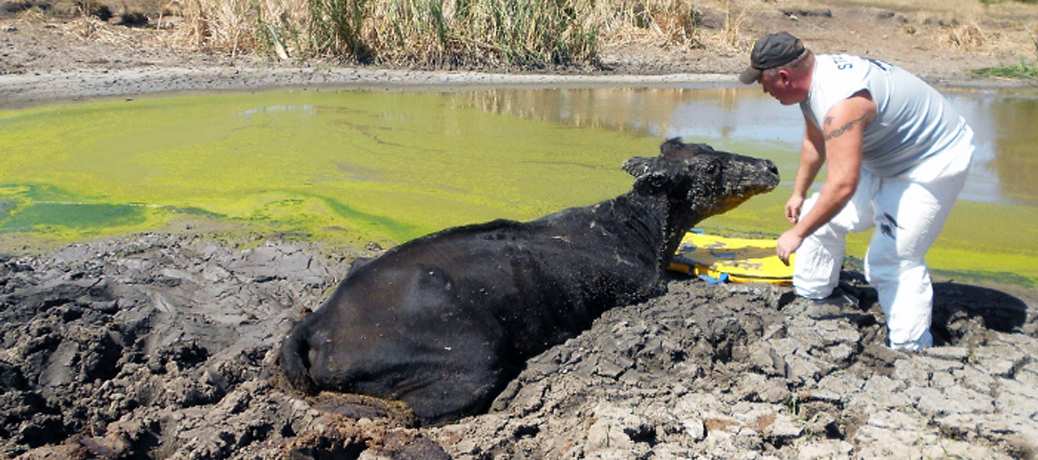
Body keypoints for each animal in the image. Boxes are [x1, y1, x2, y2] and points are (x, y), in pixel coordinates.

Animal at [280, 138, 780, 425]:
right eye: (711, 168)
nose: (771, 166)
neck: (638, 227)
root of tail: (314, 324)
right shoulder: (643, 288)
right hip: (471, 361)